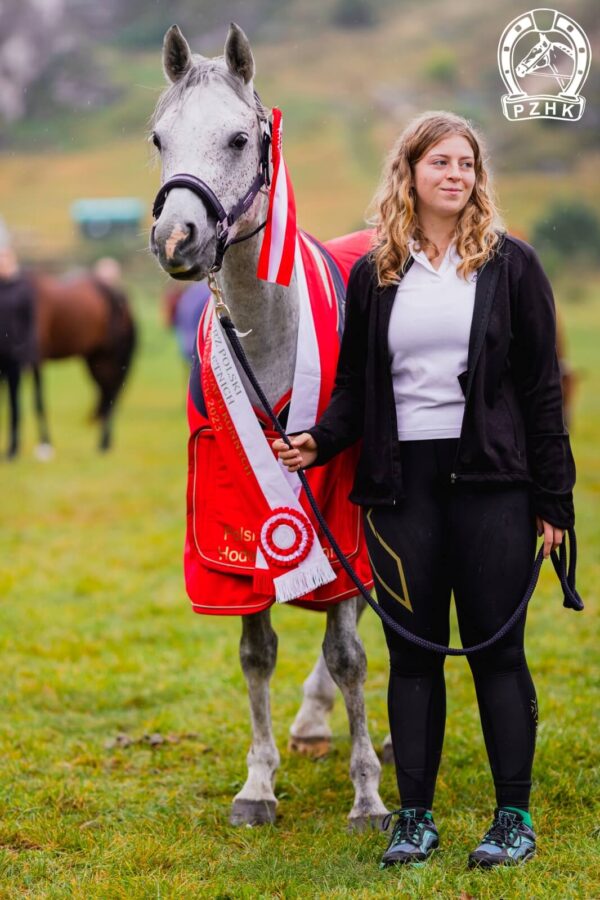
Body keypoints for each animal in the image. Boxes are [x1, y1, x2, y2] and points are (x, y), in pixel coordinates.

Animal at [0, 268, 137, 460]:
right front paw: (14, 449)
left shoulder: (33, 359)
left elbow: (37, 401)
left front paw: (44, 445)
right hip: (95, 361)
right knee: (106, 394)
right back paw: (104, 443)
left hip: (109, 358)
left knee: (111, 394)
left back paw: (104, 444)